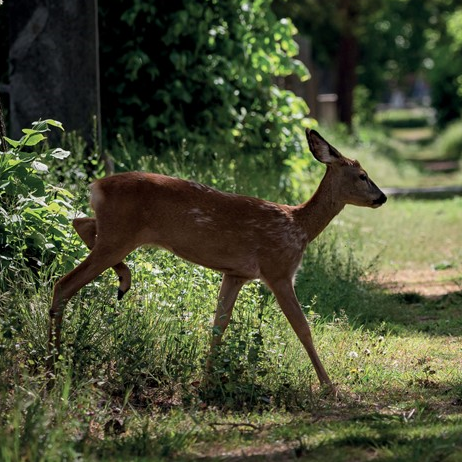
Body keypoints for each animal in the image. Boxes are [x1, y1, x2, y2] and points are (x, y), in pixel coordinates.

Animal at [47, 129, 386, 390]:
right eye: (362, 176)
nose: (382, 197)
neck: (299, 226)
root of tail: (96, 186)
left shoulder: (235, 274)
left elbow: (218, 325)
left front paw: (206, 380)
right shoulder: (278, 269)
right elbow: (302, 328)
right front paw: (329, 386)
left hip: (114, 231)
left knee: (79, 222)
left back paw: (121, 282)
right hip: (119, 235)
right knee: (64, 282)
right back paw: (54, 362)